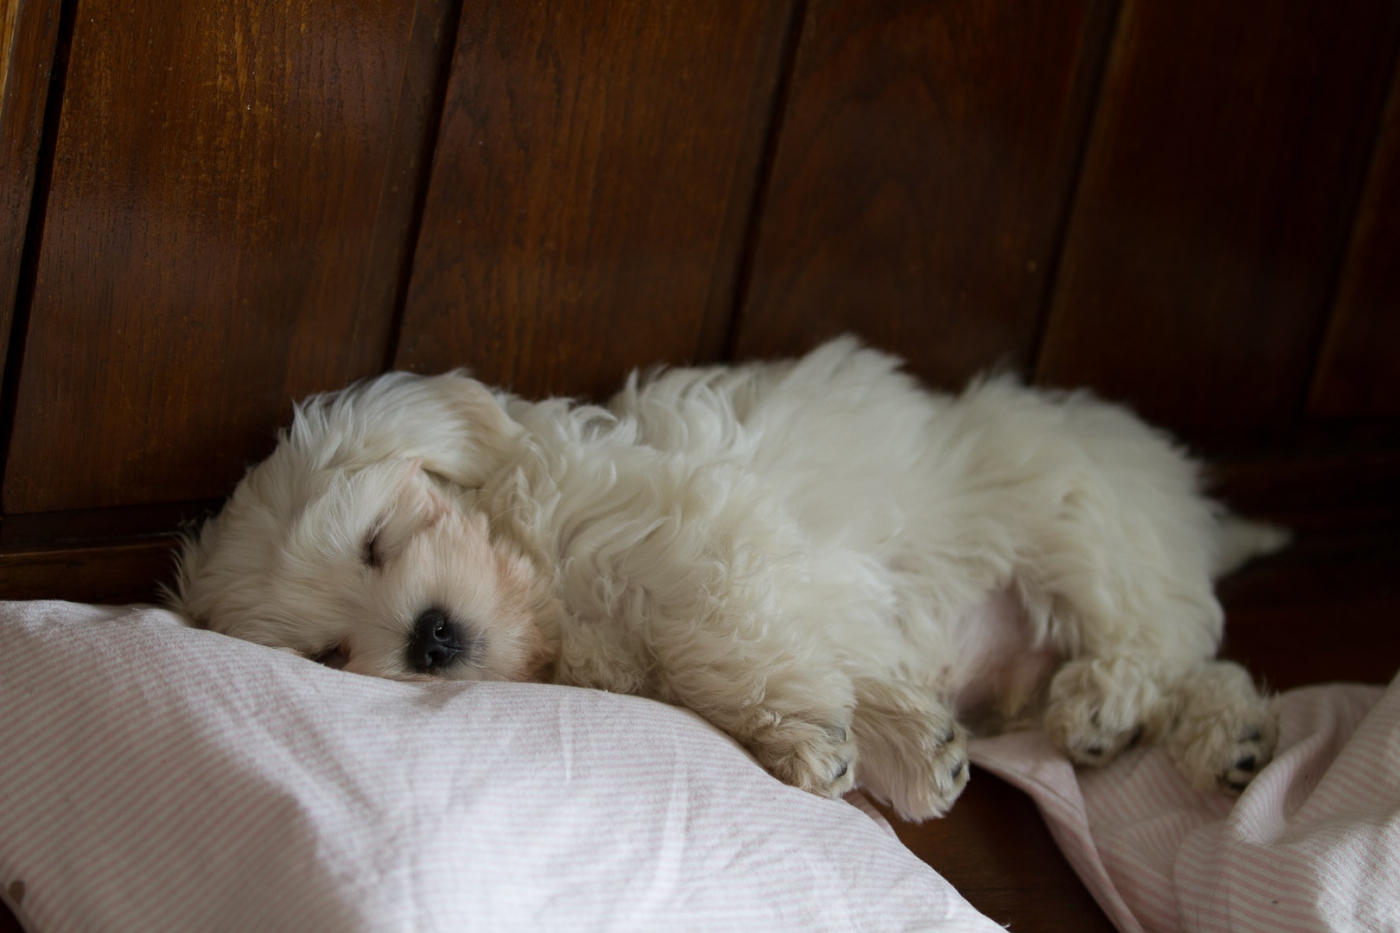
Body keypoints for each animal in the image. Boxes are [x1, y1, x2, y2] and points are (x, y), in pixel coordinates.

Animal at [169, 337, 1286, 820]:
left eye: (373, 541)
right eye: (330, 654)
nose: (429, 635)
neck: (550, 584)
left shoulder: (707, 537)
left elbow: (727, 640)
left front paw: (822, 748)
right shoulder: (793, 592)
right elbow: (839, 667)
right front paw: (907, 751)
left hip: (1079, 530)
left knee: (1151, 637)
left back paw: (1108, 702)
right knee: (1202, 665)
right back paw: (1227, 740)